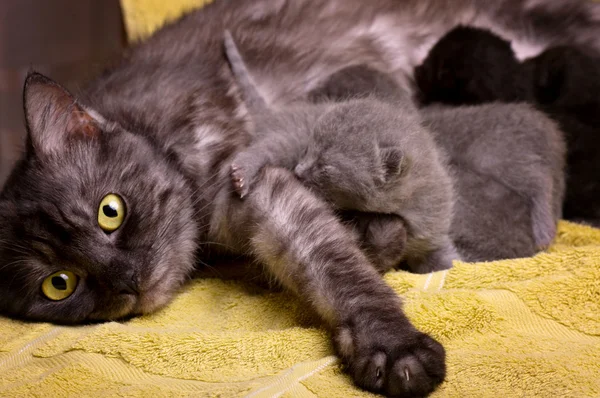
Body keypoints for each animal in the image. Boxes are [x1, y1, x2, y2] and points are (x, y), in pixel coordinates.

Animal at [226, 31, 460, 274]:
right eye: (309, 149)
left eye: (325, 168)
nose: (298, 171)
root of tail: (276, 113)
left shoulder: (431, 233)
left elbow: (443, 261)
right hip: (287, 139)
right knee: (266, 148)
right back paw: (244, 171)